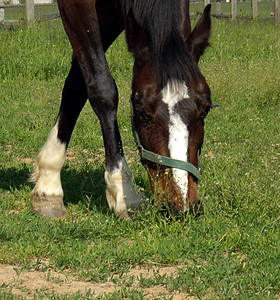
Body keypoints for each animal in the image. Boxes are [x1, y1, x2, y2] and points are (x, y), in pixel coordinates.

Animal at [30, 0, 212, 218]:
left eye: (205, 110)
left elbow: (76, 84)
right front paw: (125, 193)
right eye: (142, 113)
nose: (181, 205)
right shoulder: (77, 6)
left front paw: (48, 181)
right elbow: (103, 89)